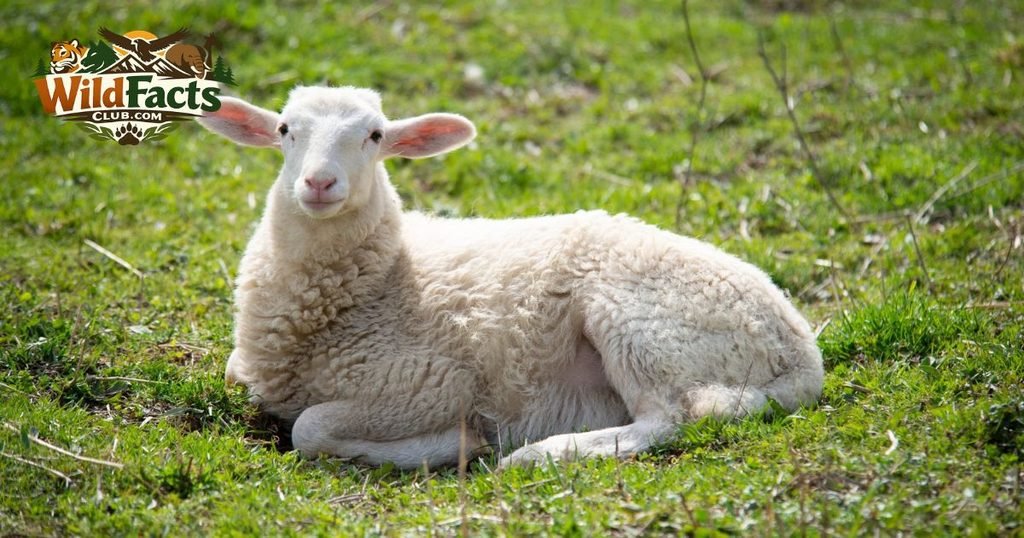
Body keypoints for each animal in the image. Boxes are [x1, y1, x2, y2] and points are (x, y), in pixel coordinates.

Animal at [197, 86, 824, 469]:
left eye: (375, 136)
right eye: (285, 130)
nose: (320, 183)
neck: (383, 281)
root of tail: (800, 348)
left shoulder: (430, 383)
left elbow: (309, 427)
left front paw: (456, 443)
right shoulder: (250, 364)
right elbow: (240, 378)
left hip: (643, 326)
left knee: (673, 418)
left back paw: (542, 454)